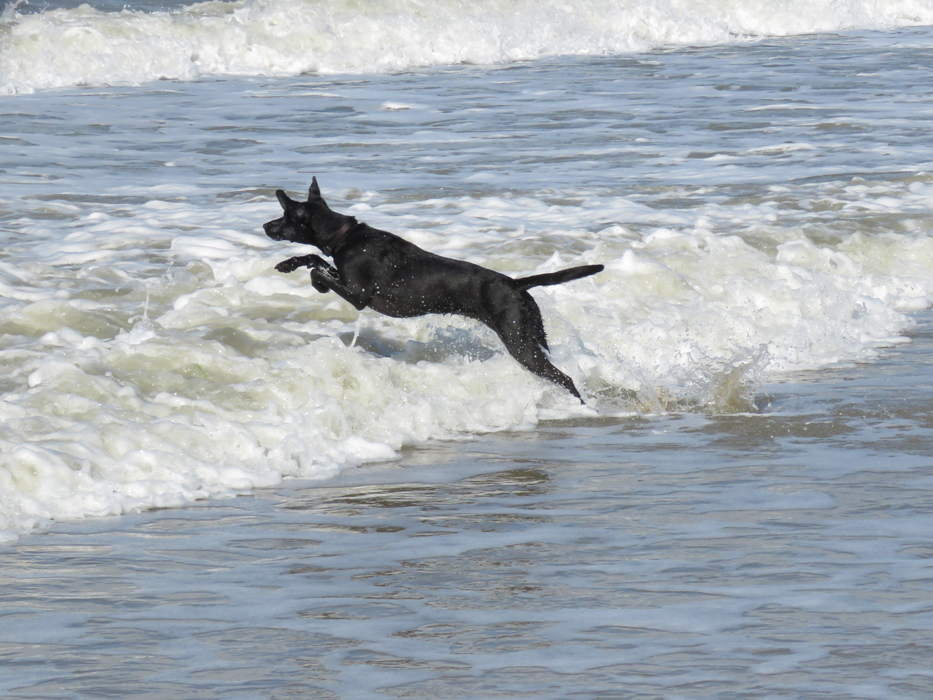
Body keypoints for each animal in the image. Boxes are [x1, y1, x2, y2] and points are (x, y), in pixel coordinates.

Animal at [262, 178, 600, 400]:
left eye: (285, 215)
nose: (265, 226)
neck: (345, 237)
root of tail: (516, 283)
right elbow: (315, 258)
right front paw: (289, 264)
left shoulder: (358, 295)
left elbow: (318, 267)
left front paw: (315, 282)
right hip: (530, 335)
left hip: (520, 344)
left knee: (565, 379)